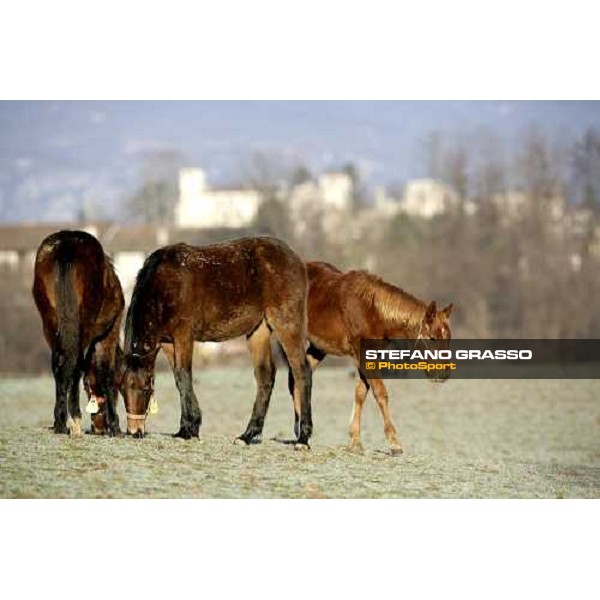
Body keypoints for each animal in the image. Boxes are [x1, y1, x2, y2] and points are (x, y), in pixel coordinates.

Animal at [32, 230, 125, 436]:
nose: (99, 427)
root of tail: (66, 245)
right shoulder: (109, 334)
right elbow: (106, 372)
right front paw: (115, 426)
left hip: (51, 325)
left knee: (59, 364)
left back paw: (61, 422)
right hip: (83, 327)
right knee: (74, 364)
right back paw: (75, 419)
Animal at [119, 237, 312, 448]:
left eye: (146, 388)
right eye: (122, 389)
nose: (134, 431)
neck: (164, 284)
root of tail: (295, 258)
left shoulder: (183, 336)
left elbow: (184, 375)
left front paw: (188, 430)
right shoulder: (168, 343)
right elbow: (178, 379)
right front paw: (187, 428)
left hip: (286, 324)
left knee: (302, 371)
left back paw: (303, 438)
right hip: (259, 330)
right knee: (265, 376)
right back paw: (247, 435)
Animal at [288, 262, 452, 454]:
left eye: (448, 338)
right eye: (432, 338)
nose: (443, 375)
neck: (371, 310)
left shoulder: (366, 357)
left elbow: (361, 393)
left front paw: (355, 441)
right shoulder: (363, 355)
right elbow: (380, 392)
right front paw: (394, 443)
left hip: (318, 348)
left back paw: (302, 434)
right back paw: (301, 436)